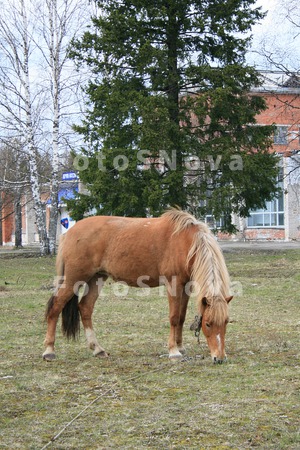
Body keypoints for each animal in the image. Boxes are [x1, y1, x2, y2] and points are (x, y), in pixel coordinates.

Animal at [43, 209, 233, 364]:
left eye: (225, 322)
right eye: (208, 324)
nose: (219, 358)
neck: (186, 242)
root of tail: (69, 233)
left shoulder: (185, 286)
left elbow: (181, 317)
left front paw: (180, 346)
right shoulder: (173, 284)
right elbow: (173, 317)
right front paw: (173, 351)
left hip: (97, 278)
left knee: (85, 308)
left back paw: (97, 349)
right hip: (74, 279)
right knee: (55, 307)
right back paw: (49, 351)